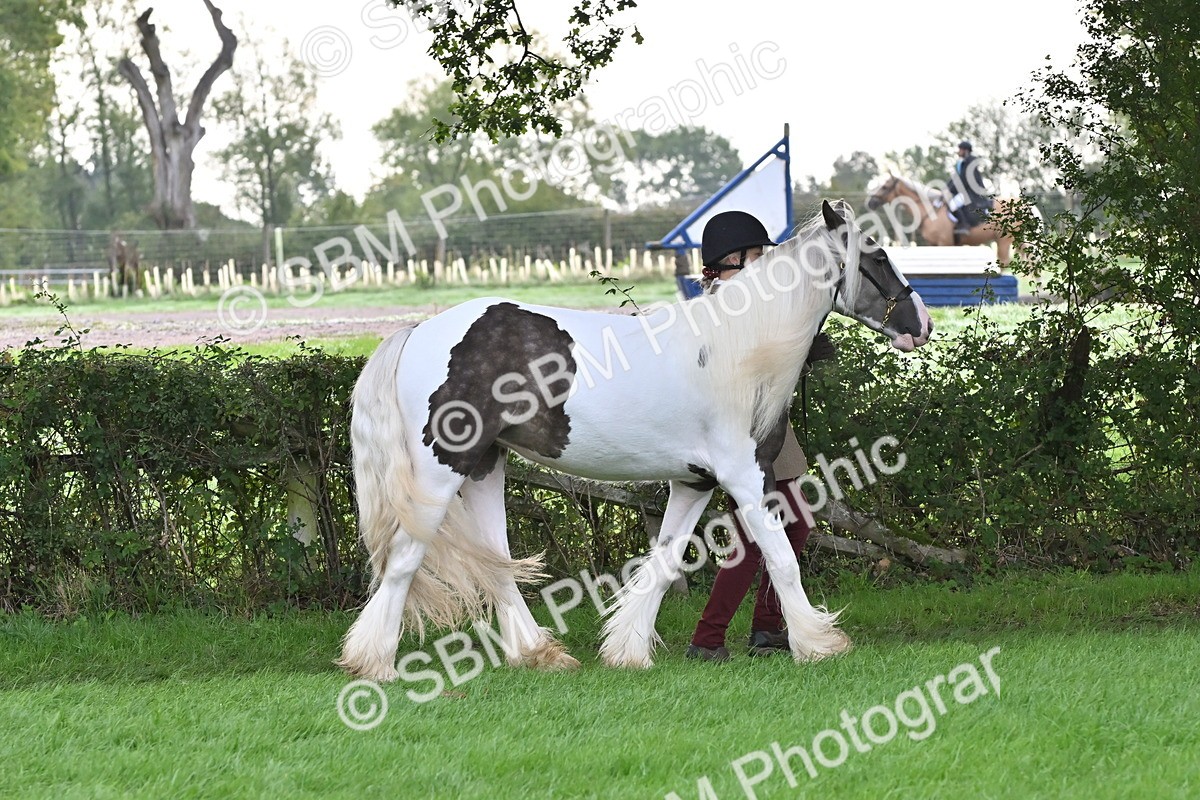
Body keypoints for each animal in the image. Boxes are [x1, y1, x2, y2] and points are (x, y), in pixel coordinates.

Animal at [338, 200, 933, 682]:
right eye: (879, 257)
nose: (923, 324)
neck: (736, 348)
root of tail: (418, 333)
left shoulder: (695, 483)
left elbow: (667, 560)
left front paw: (627, 652)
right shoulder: (744, 477)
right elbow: (781, 556)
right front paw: (818, 643)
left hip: (485, 466)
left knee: (496, 563)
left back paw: (540, 655)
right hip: (441, 470)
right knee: (405, 559)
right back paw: (376, 664)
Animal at [865, 174, 1031, 267]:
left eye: (885, 187)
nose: (870, 203)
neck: (930, 209)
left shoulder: (944, 243)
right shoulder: (933, 244)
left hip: (1004, 240)